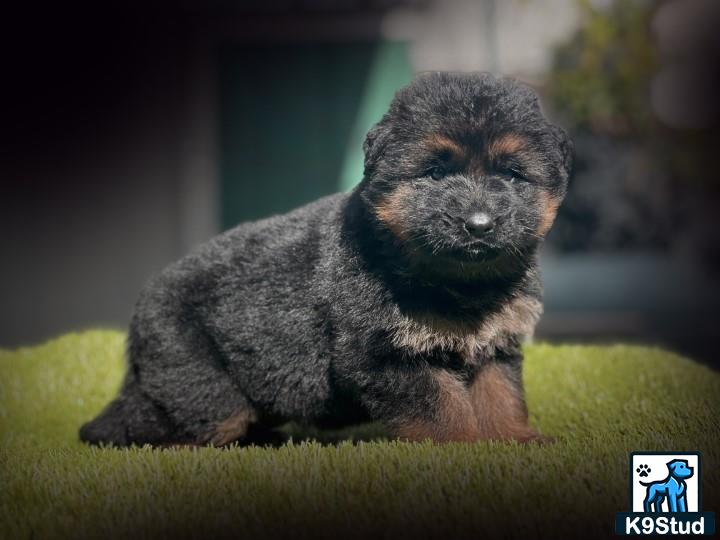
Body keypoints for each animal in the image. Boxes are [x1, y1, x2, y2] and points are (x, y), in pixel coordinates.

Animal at [80, 71, 572, 448]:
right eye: (434, 173)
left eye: (511, 173)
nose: (479, 224)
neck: (456, 282)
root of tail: (141, 309)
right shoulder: (383, 354)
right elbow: (442, 406)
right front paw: (464, 448)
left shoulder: (495, 346)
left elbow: (501, 398)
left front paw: (515, 440)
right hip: (199, 382)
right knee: (167, 427)